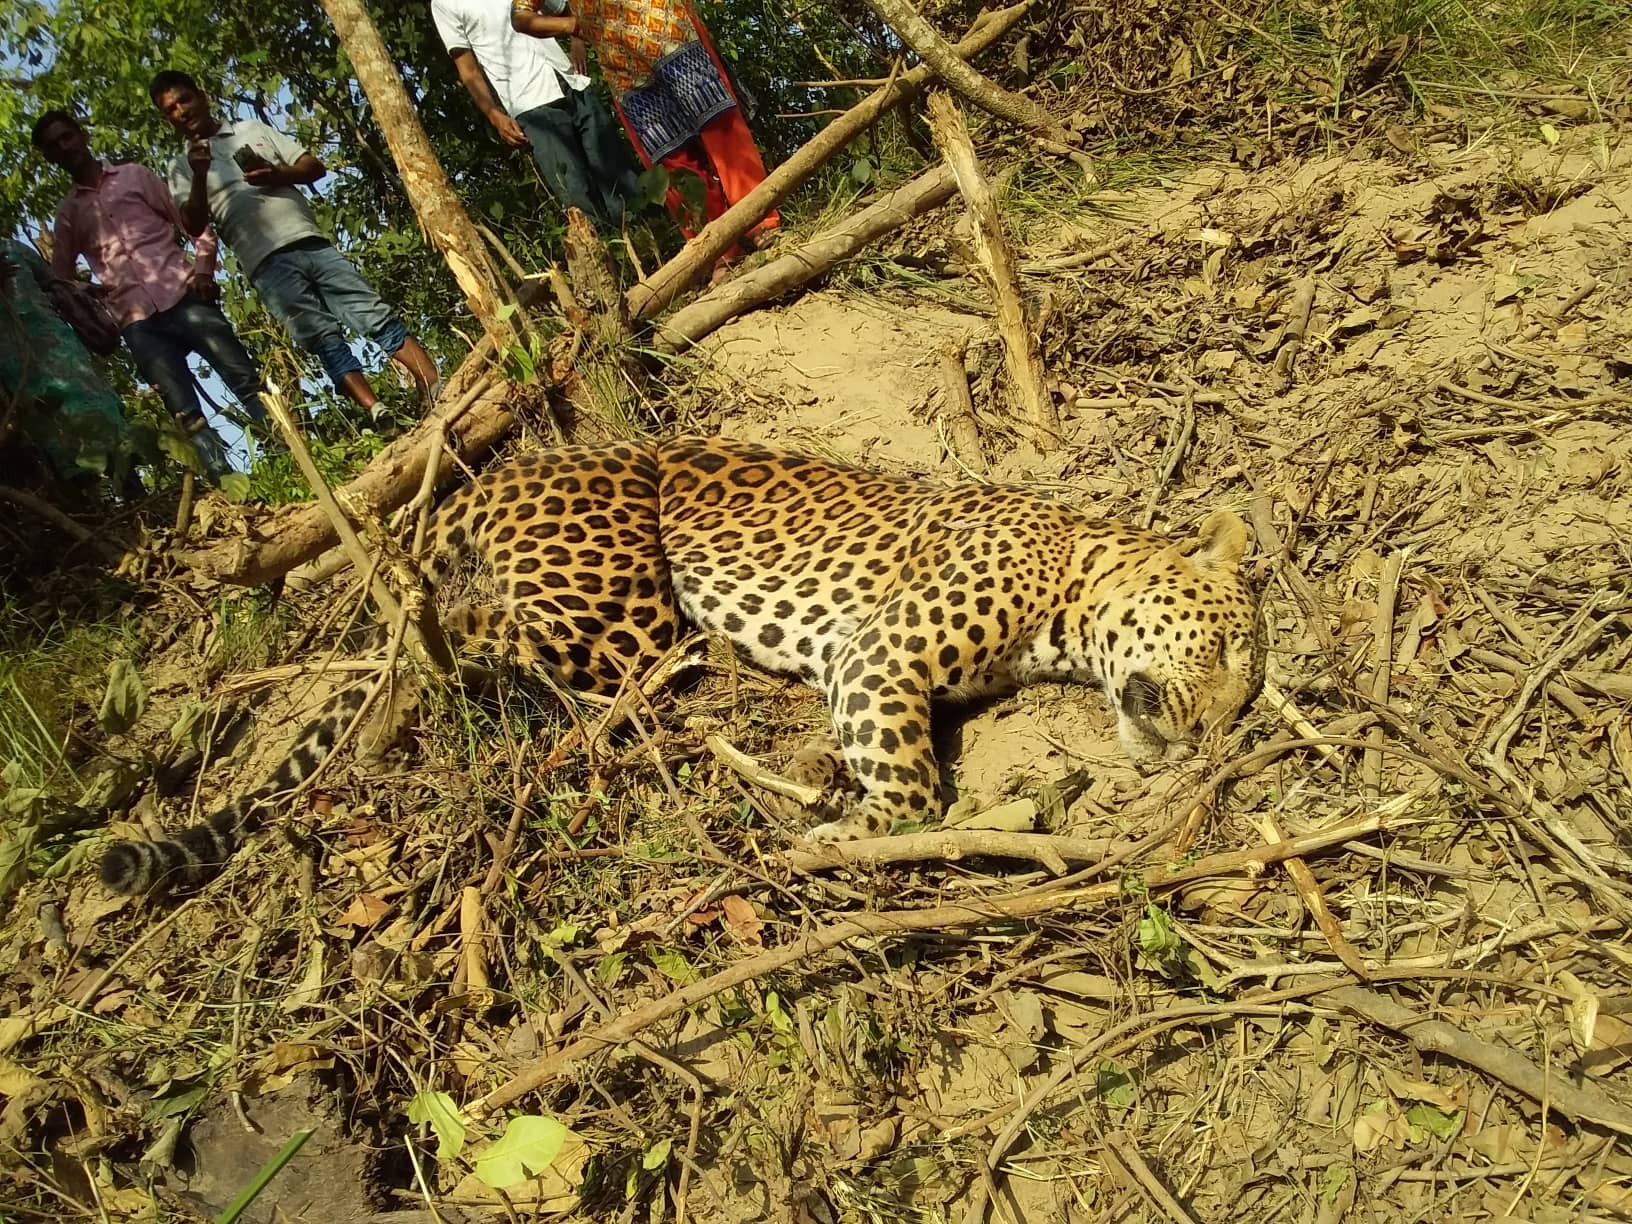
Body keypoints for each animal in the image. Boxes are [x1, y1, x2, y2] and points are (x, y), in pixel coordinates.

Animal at [102, 437, 1259, 894]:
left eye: (1240, 700)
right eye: (1225, 650)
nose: (1202, 733)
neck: (1075, 578)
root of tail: (489, 477)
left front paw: (831, 801)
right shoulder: (880, 650)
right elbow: (917, 789)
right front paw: (850, 831)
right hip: (620, 604)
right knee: (468, 647)